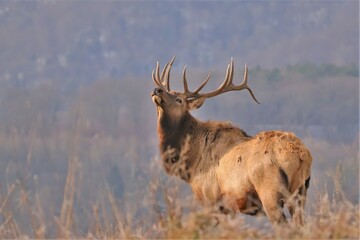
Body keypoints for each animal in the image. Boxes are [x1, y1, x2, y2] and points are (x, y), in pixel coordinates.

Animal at [150, 57, 312, 226]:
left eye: (179, 99)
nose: (157, 90)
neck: (191, 163)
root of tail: (301, 156)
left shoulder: (211, 199)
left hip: (270, 192)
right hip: (301, 192)